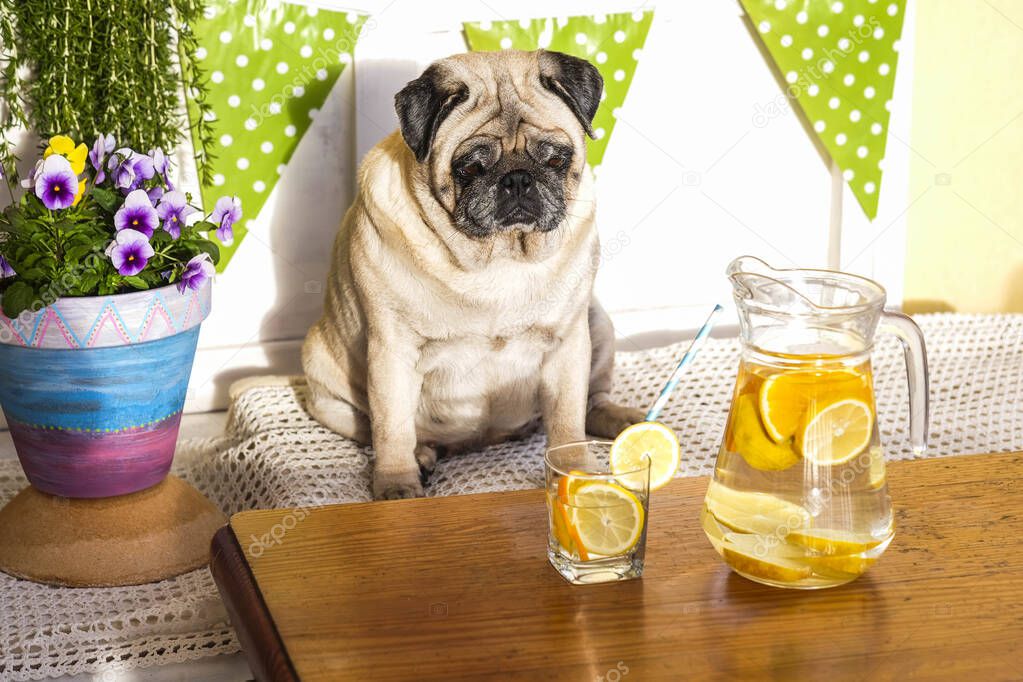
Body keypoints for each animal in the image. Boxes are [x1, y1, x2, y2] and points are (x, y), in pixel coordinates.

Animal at [298, 46, 642, 496]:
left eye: (555, 158)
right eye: (472, 167)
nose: (518, 179)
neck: (499, 255)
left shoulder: (567, 344)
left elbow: (567, 421)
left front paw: (575, 472)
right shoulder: (392, 352)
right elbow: (392, 428)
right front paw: (396, 486)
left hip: (597, 324)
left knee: (591, 402)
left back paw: (622, 421)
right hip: (323, 378)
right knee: (382, 429)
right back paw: (421, 456)